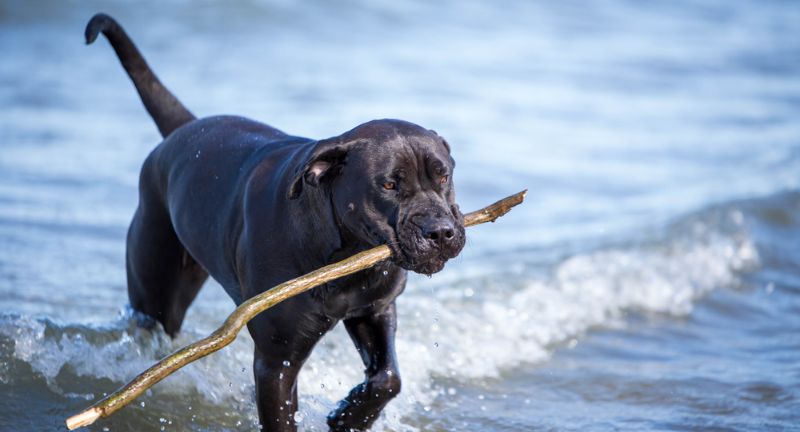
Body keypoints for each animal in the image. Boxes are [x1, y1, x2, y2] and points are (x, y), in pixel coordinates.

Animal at [85, 13, 466, 432]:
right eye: (389, 185)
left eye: (443, 175)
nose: (441, 231)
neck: (345, 257)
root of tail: (183, 129)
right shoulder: (276, 358)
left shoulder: (375, 310)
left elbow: (389, 378)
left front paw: (348, 415)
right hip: (157, 289)